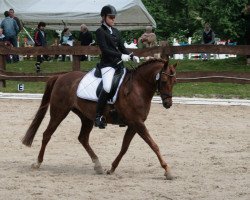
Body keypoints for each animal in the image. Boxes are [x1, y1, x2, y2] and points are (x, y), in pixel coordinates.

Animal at [22, 58, 178, 179]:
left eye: (174, 81)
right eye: (164, 81)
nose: (168, 104)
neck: (138, 87)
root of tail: (61, 77)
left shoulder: (134, 125)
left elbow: (124, 147)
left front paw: (112, 168)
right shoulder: (137, 123)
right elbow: (154, 145)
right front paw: (168, 171)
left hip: (86, 118)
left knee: (83, 138)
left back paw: (98, 165)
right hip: (59, 113)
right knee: (47, 134)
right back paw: (37, 163)